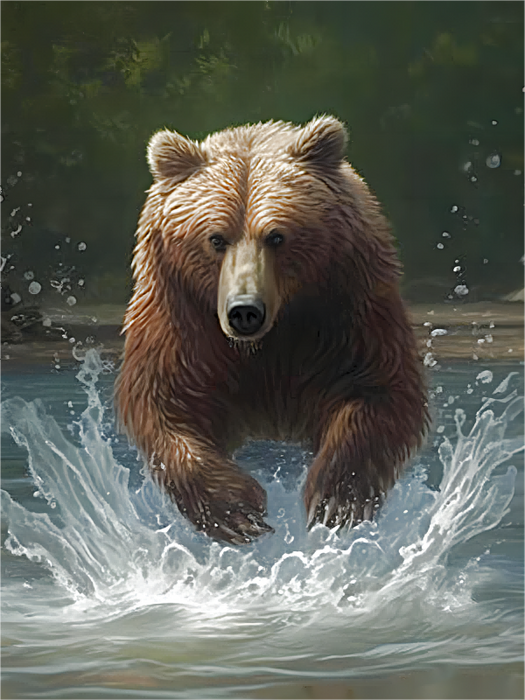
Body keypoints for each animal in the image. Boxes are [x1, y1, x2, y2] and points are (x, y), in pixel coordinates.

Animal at [115, 116, 428, 545]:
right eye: (216, 238)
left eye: (277, 236)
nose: (245, 311)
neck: (266, 346)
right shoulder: (180, 324)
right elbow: (164, 406)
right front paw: (238, 510)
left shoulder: (349, 314)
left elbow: (380, 392)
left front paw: (335, 502)